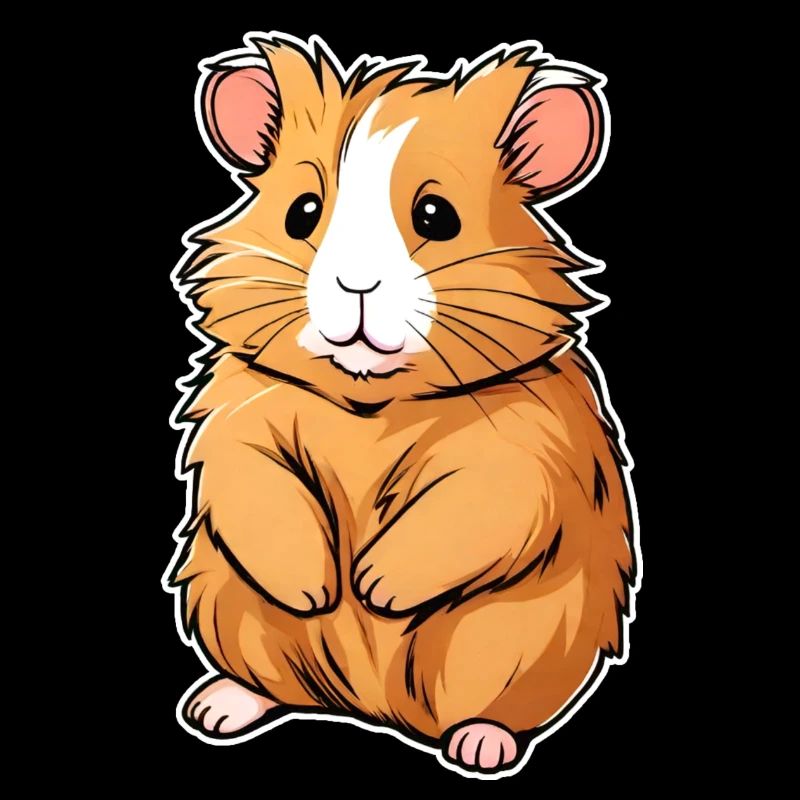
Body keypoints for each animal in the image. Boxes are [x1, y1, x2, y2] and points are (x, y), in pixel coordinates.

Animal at [167, 32, 638, 778]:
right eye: (303, 211)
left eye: (435, 217)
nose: (355, 285)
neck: (370, 403)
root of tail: (372, 710)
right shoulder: (241, 426)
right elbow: (264, 492)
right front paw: (319, 591)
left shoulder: (519, 454)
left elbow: (462, 514)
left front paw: (372, 589)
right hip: (231, 611)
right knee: (269, 678)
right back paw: (215, 709)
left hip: (503, 647)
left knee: (492, 709)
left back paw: (481, 748)